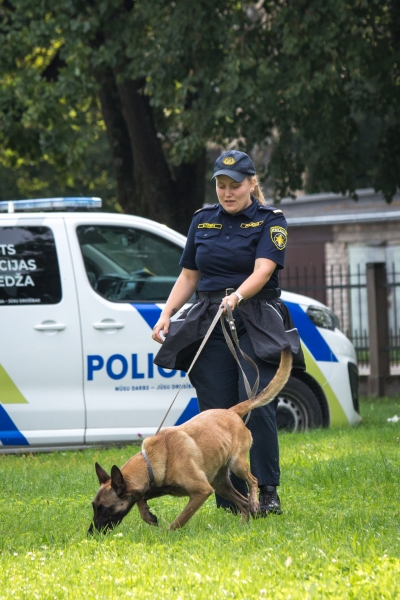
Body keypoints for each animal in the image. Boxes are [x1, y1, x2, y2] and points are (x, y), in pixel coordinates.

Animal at [87, 346, 292, 536]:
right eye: (94, 506)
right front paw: (148, 515)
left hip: (236, 465)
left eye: (104, 508)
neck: (152, 461)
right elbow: (140, 499)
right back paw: (243, 525)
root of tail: (231, 411)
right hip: (220, 484)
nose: (91, 533)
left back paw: (255, 503)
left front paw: (167, 534)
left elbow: (180, 518)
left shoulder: (201, 491)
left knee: (253, 481)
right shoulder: (153, 488)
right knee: (242, 503)